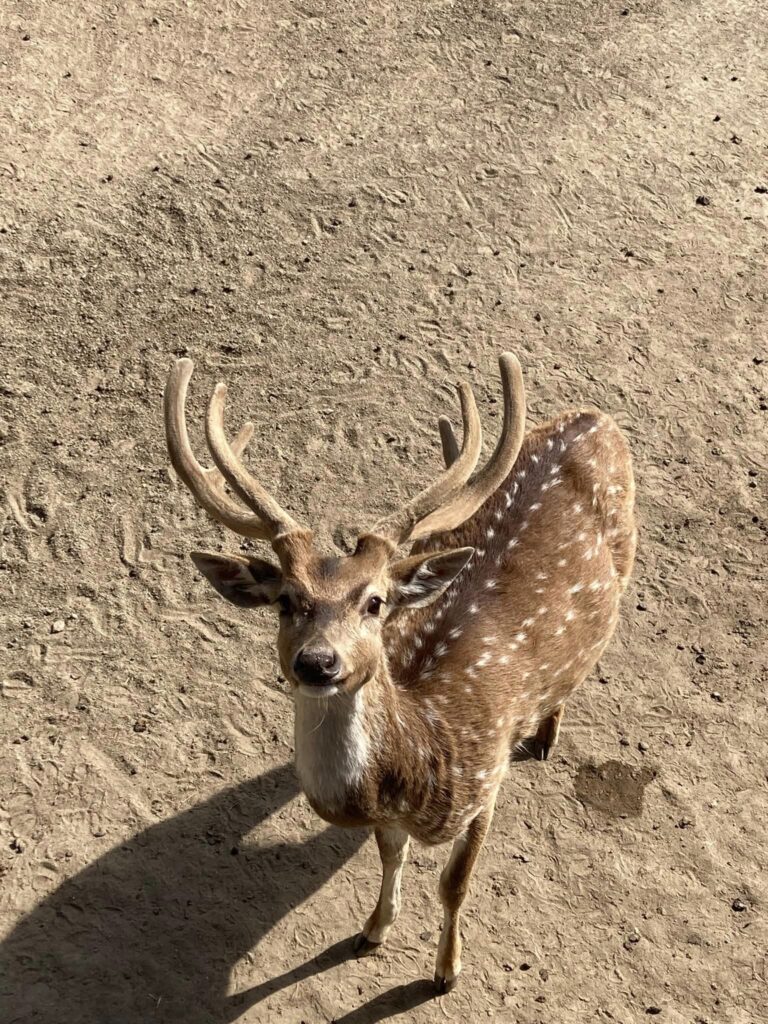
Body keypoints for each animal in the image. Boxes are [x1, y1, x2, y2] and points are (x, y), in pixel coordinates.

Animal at [162, 352, 638, 991]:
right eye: (286, 600)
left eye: (375, 602)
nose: (317, 661)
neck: (421, 757)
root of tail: (595, 417)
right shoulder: (391, 820)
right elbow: (392, 856)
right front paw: (372, 930)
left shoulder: (486, 781)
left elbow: (454, 884)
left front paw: (446, 971)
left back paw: (547, 734)